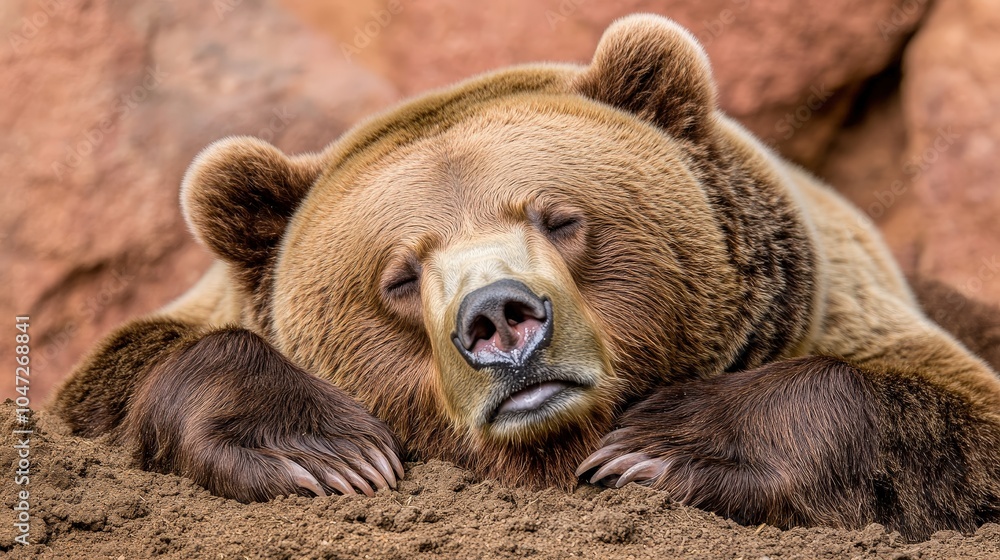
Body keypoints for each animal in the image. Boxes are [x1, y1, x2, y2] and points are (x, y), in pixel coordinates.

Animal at [52, 14, 1000, 541]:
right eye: (401, 275)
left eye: (558, 217)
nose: (500, 318)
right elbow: (121, 380)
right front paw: (321, 451)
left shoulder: (842, 310)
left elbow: (957, 426)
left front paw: (666, 444)